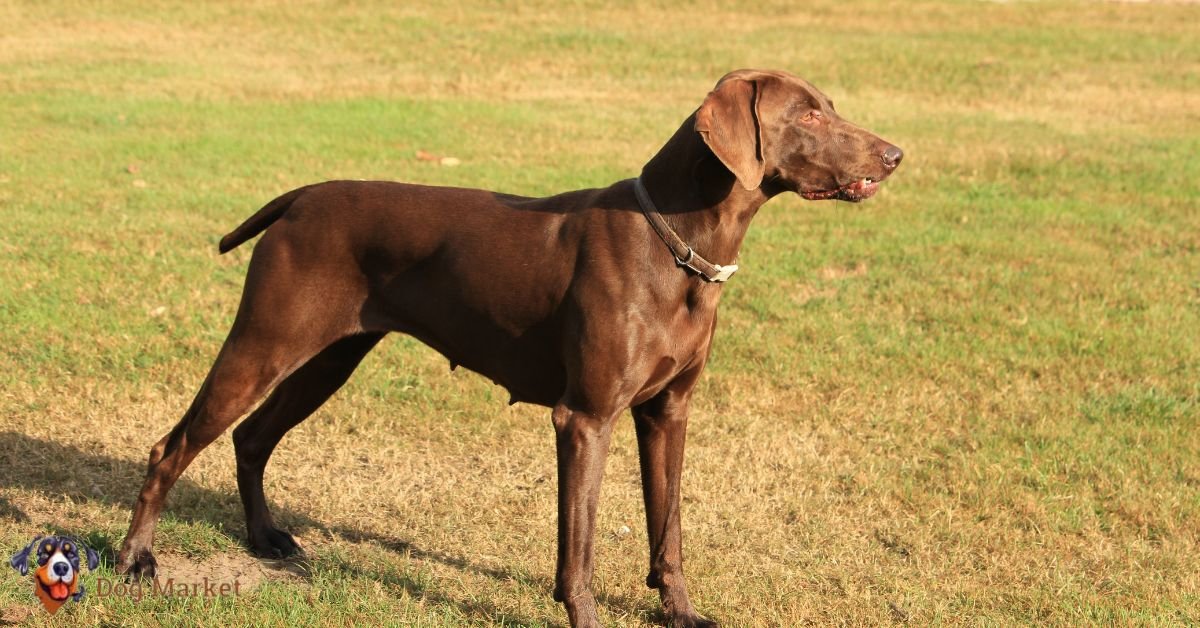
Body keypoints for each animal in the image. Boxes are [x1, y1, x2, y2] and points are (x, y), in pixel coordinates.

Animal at [117, 71, 902, 624]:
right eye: (807, 114)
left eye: (829, 105)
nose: (895, 154)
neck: (676, 246)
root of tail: (302, 196)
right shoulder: (585, 418)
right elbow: (578, 551)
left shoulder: (667, 413)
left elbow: (668, 531)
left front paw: (680, 614)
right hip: (265, 342)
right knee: (171, 447)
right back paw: (135, 561)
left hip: (329, 358)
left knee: (251, 438)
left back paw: (265, 538)